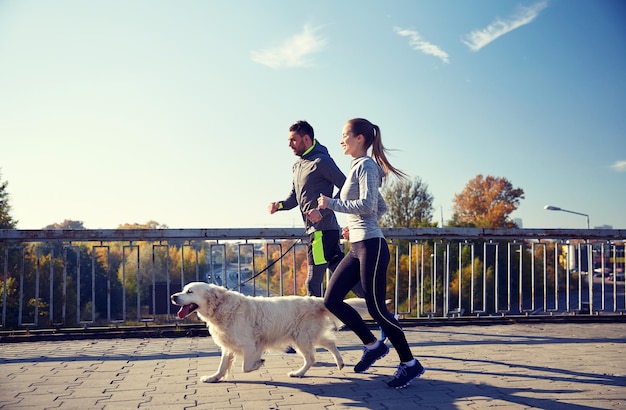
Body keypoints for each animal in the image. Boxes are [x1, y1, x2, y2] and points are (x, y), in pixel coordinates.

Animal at [171, 282, 352, 382]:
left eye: (190, 291)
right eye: (184, 289)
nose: (173, 296)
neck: (221, 307)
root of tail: (315, 300)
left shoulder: (249, 344)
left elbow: (246, 367)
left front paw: (259, 363)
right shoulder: (228, 345)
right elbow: (222, 366)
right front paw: (213, 378)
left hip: (301, 337)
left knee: (311, 358)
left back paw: (298, 373)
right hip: (306, 336)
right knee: (330, 342)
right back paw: (340, 363)